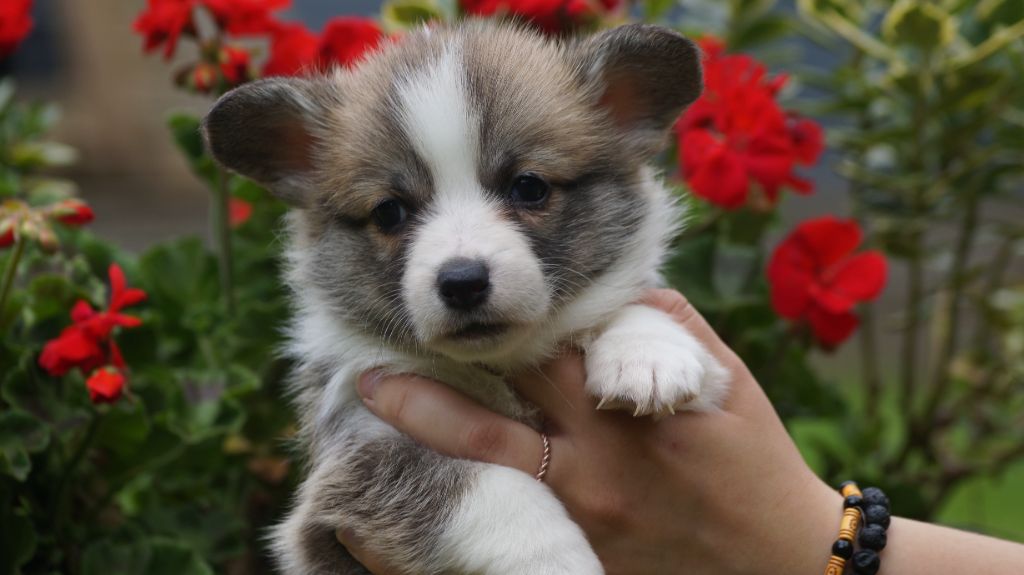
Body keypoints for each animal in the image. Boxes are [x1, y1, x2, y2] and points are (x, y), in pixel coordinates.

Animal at [201, 19, 729, 572]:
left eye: (529, 187)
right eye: (389, 212)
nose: (462, 282)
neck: (494, 367)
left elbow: (628, 308)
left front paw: (646, 355)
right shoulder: (357, 458)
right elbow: (486, 485)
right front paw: (553, 556)